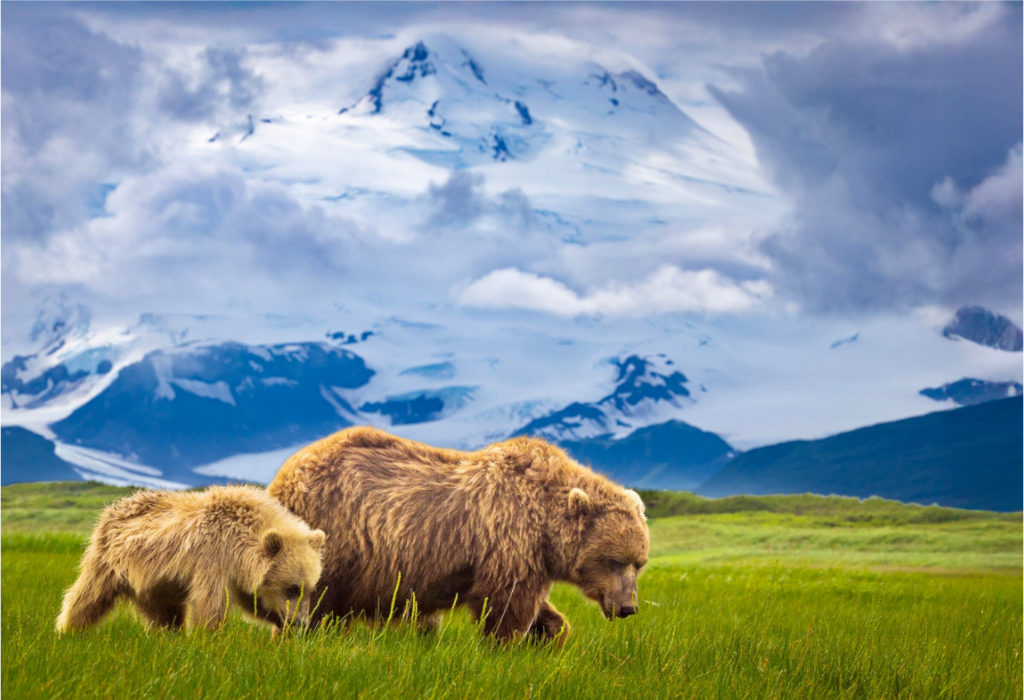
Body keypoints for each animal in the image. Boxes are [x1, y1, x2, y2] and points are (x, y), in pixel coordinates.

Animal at [56, 485, 326, 635]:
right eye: (291, 587)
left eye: (310, 588)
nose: (301, 622)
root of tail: (115, 506)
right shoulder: (212, 558)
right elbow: (210, 605)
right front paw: (209, 637)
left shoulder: (240, 575)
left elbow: (254, 603)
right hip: (108, 559)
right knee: (88, 596)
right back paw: (67, 631)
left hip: (154, 585)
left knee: (165, 616)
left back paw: (169, 636)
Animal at [268, 426, 649, 645]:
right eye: (614, 560)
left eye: (639, 563)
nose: (628, 607)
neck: (545, 526)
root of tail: (284, 474)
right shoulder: (508, 536)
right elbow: (506, 607)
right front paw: (502, 646)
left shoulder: (527, 558)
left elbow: (534, 607)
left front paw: (551, 634)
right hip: (333, 535)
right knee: (313, 600)